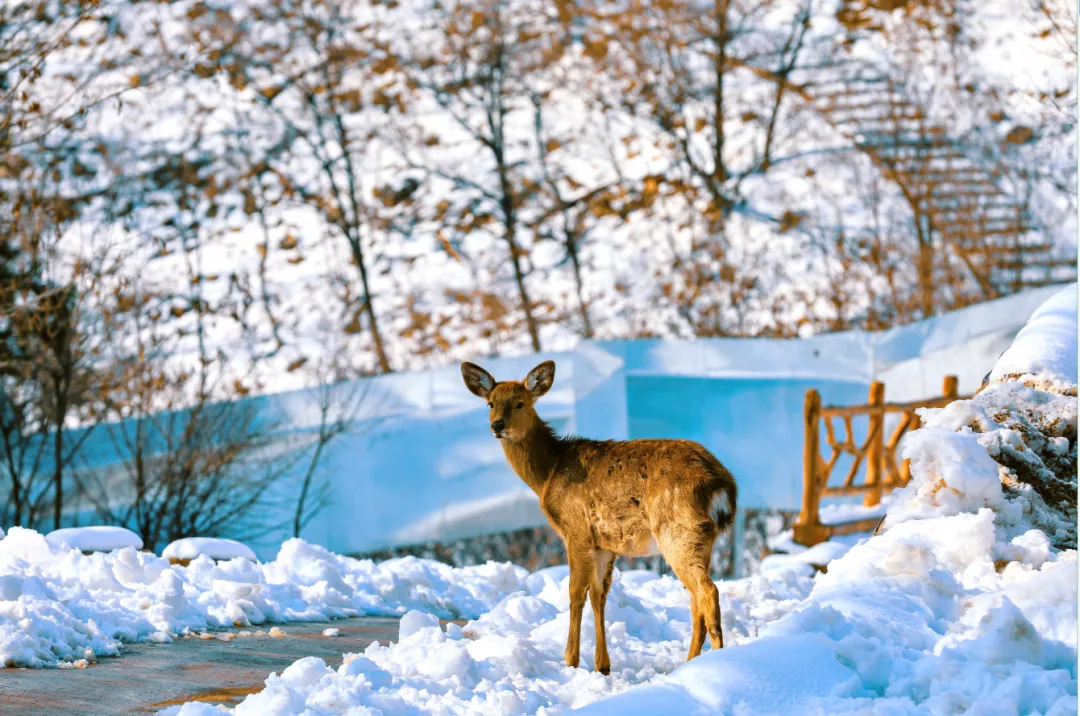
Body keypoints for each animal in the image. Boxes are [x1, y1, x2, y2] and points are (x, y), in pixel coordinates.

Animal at [460, 360, 738, 673]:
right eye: (491, 403)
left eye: (520, 403)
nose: (497, 425)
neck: (548, 474)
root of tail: (722, 484)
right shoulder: (604, 543)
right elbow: (599, 595)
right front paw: (602, 666)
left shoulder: (576, 529)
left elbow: (574, 592)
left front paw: (570, 660)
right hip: (701, 539)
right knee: (695, 597)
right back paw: (690, 662)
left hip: (678, 530)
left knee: (707, 591)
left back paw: (713, 660)